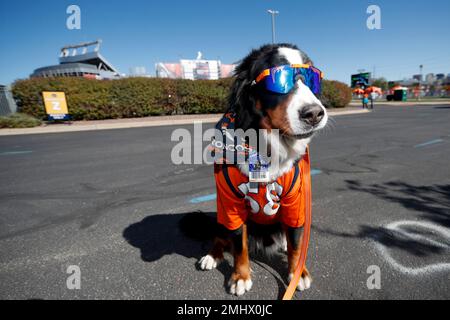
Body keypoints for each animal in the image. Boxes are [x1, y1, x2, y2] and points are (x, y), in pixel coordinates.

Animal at [197, 43, 326, 296]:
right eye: (279, 79)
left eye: (312, 78)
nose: (315, 114)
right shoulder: (231, 205)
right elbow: (239, 246)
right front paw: (240, 276)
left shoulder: (296, 203)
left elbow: (297, 244)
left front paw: (298, 272)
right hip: (220, 214)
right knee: (220, 237)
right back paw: (212, 256)